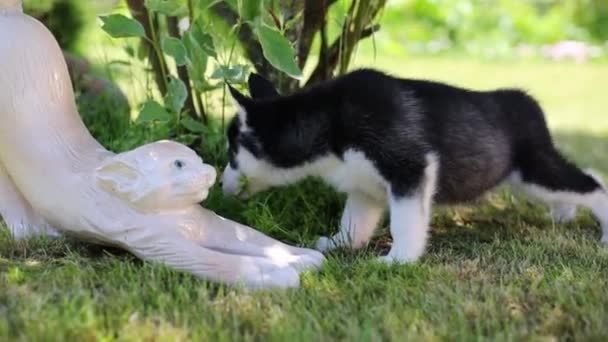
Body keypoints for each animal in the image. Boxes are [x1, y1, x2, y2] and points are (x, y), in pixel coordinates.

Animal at [221, 69, 604, 262]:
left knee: (594, 184)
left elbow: (404, 225)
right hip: (527, 180)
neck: (327, 122)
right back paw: (563, 216)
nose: (221, 185)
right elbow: (353, 222)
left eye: (232, 154)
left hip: (536, 171)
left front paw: (398, 260)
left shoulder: (410, 168)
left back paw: (604, 233)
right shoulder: (364, 186)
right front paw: (339, 243)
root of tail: (526, 100)